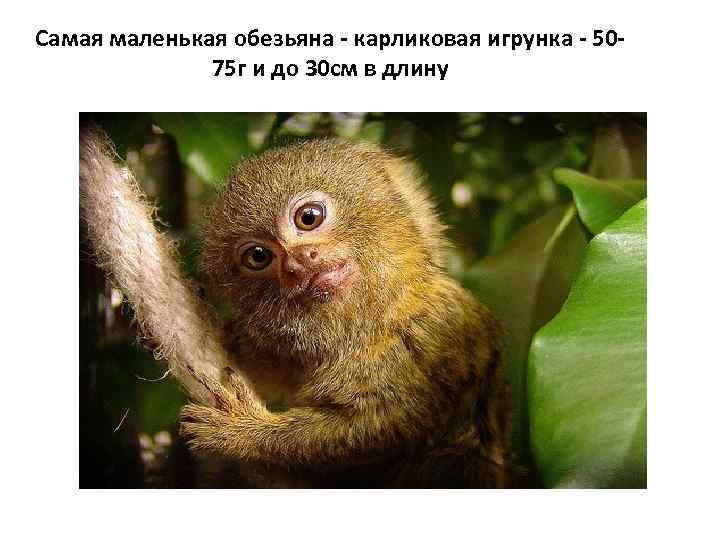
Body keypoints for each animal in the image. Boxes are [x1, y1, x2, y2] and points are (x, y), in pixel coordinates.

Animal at [79, 125, 511, 488]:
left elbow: (380, 427)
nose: (298, 262)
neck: (374, 321)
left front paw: (242, 433)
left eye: (309, 217)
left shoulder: (439, 330)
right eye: (258, 257)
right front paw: (227, 336)